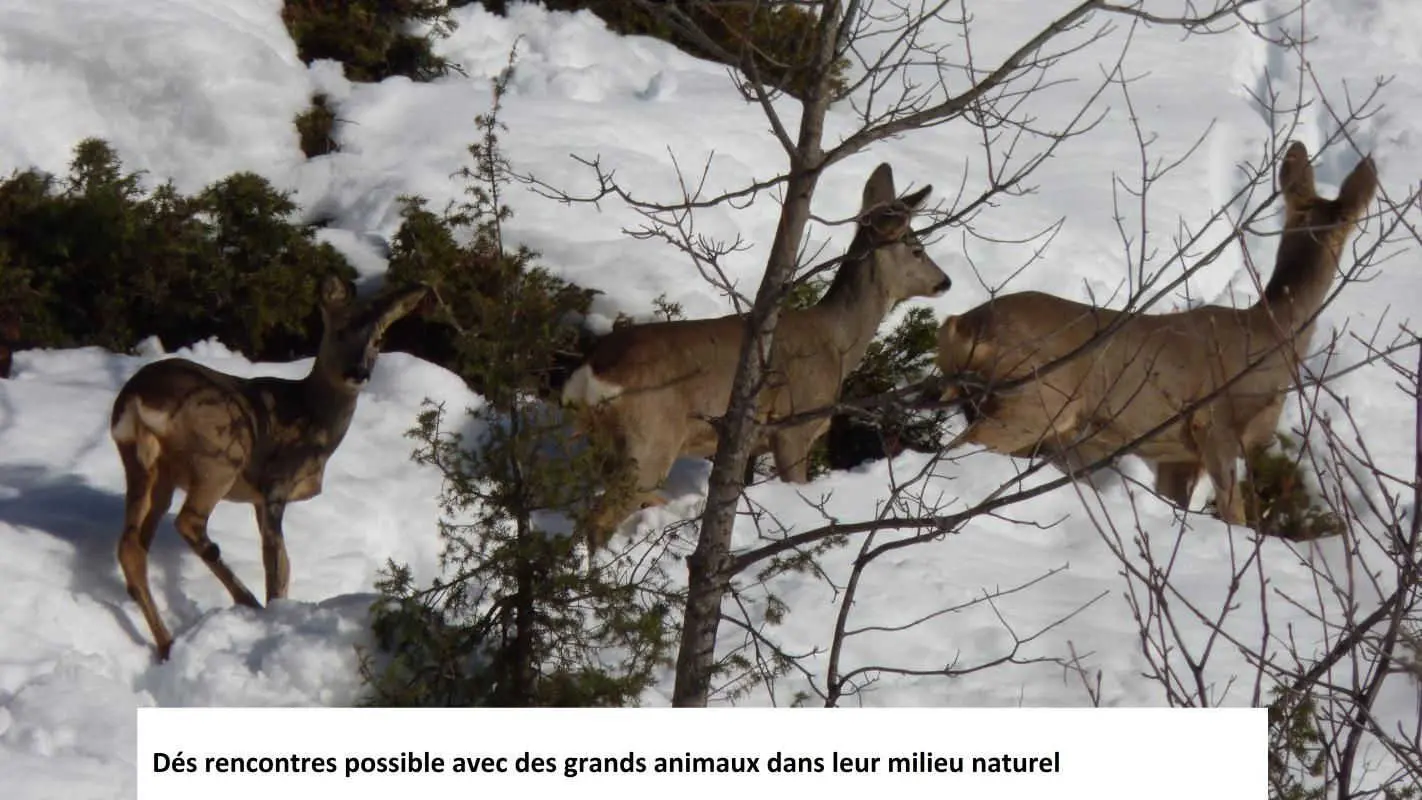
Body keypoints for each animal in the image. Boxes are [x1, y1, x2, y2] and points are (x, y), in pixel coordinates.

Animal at [110, 277, 426, 665]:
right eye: (338, 331)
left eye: (378, 341)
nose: (358, 373)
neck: (313, 418)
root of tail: (139, 399)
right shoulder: (275, 485)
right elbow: (276, 563)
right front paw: (275, 613)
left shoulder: (261, 498)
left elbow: (284, 564)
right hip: (221, 456)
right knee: (189, 523)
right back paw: (247, 603)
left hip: (146, 466)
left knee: (131, 546)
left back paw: (168, 644)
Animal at [560, 162, 949, 551]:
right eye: (917, 248)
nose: (944, 281)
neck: (838, 342)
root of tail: (593, 372)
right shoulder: (795, 427)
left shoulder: (747, 444)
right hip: (651, 440)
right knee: (599, 518)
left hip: (602, 443)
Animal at [932, 143, 1376, 525]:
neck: (1271, 336)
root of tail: (965, 325)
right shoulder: (1215, 427)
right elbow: (1234, 514)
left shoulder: (1175, 455)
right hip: (1034, 401)